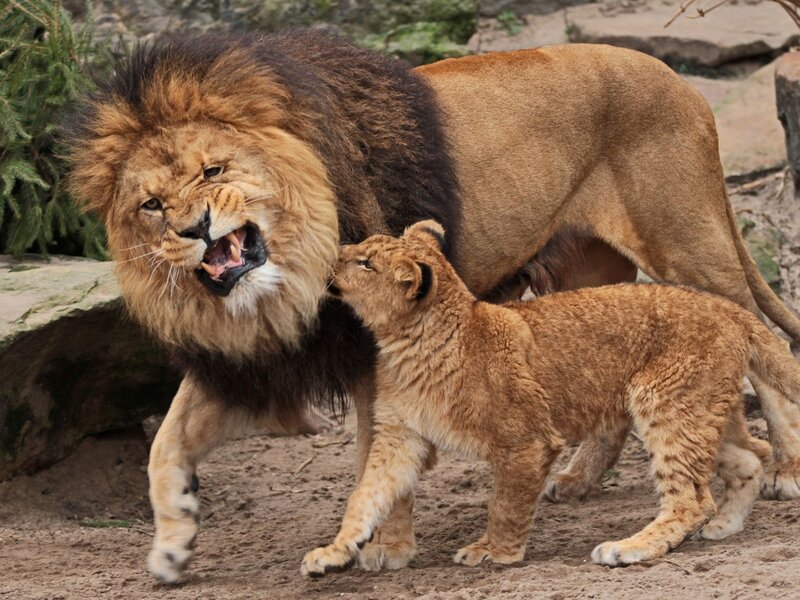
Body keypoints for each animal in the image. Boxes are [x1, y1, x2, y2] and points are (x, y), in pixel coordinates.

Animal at [302, 220, 787, 575]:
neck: (405, 342)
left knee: (691, 498)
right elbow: (365, 496)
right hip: (698, 409)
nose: (332, 255)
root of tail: (728, 308)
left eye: (365, 262)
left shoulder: (527, 441)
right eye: (362, 248)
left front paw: (494, 552)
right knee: (750, 458)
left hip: (663, 403)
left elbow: (506, 504)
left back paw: (628, 548)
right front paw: (333, 552)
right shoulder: (400, 436)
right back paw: (724, 525)